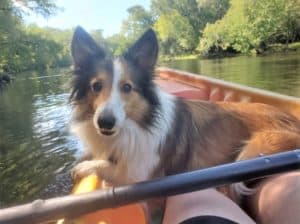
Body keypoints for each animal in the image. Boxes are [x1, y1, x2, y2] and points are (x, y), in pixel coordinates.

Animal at [69, 25, 300, 196]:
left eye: (127, 87)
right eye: (96, 86)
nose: (105, 122)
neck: (138, 124)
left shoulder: (141, 174)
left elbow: (109, 168)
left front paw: (84, 167)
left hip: (256, 147)